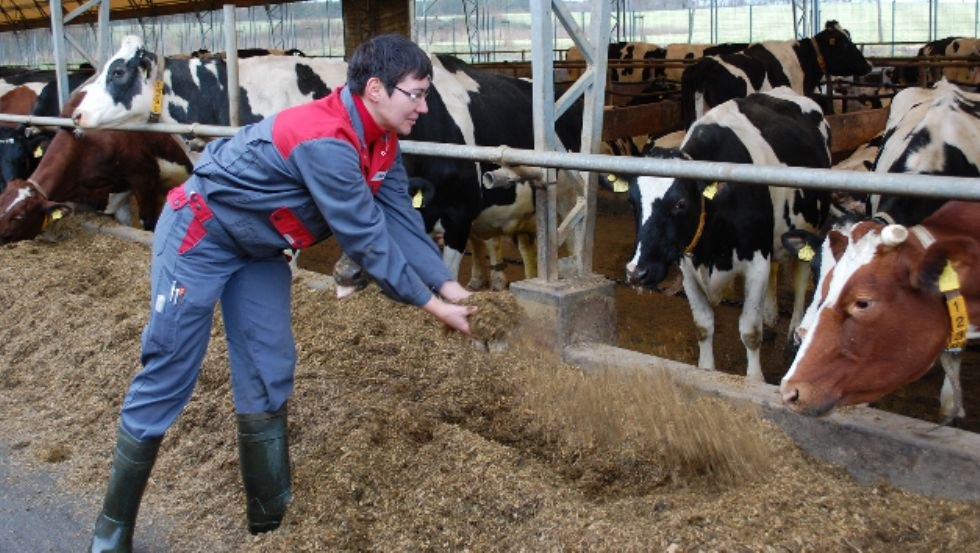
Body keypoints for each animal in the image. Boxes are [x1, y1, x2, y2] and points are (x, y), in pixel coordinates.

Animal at [628, 88, 828, 382]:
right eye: (633, 202)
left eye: (680, 204)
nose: (636, 272)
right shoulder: (687, 265)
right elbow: (703, 325)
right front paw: (706, 369)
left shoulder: (756, 261)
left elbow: (750, 332)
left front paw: (755, 380)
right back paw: (770, 316)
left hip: (810, 227)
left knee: (801, 279)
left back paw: (792, 332)